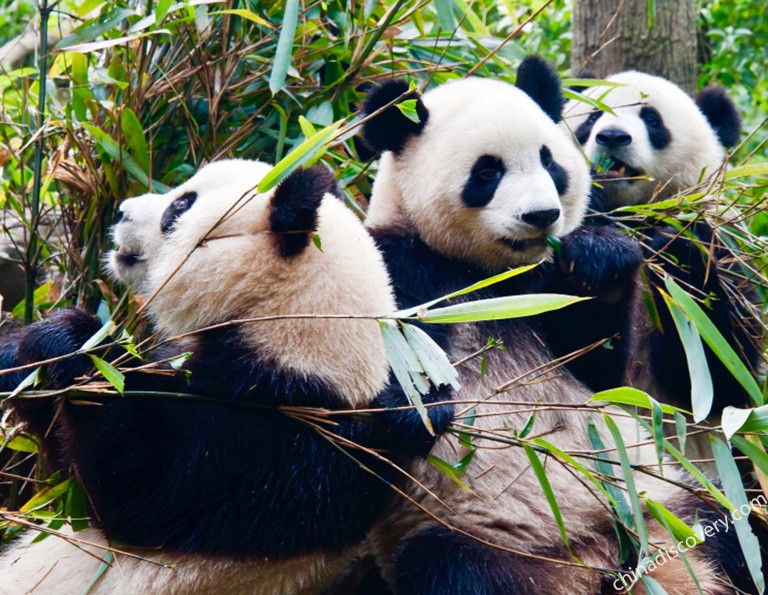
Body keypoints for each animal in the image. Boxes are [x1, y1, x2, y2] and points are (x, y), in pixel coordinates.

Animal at [0, 161, 450, 592]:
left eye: (180, 207)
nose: (122, 210)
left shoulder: (285, 447)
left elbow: (140, 487)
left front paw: (73, 341)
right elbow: (59, 462)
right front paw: (22, 355)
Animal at [564, 72, 760, 424]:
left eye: (652, 120)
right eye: (592, 117)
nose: (612, 136)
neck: (634, 215)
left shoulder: (727, 252)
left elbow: (723, 381)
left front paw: (676, 249)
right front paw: (600, 257)